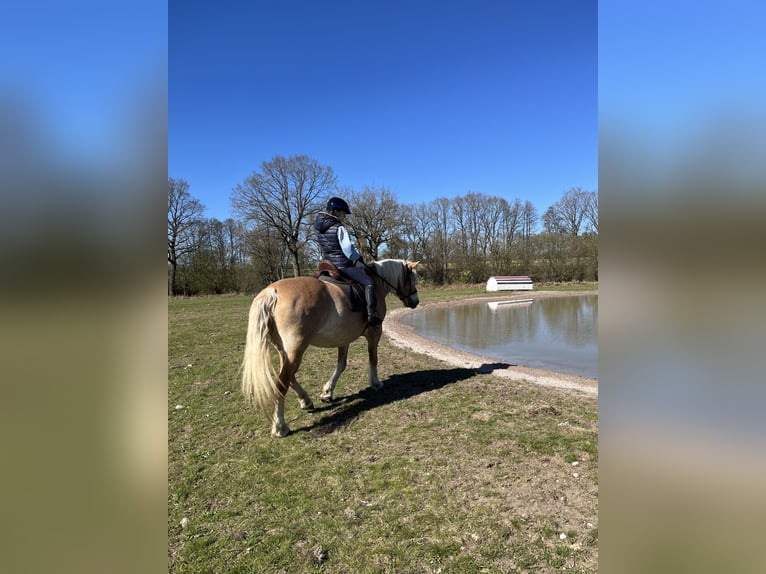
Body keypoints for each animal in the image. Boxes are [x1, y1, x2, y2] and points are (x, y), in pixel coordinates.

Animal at [241, 259, 420, 437]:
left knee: (289, 376)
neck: (376, 280)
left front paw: (327, 392)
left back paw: (306, 401)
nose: (416, 301)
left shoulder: (344, 338)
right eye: (413, 279)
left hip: (283, 349)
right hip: (296, 349)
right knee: (282, 381)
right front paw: (375, 383)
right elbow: (373, 358)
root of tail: (273, 291)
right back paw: (280, 426)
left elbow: (341, 365)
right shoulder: (375, 332)